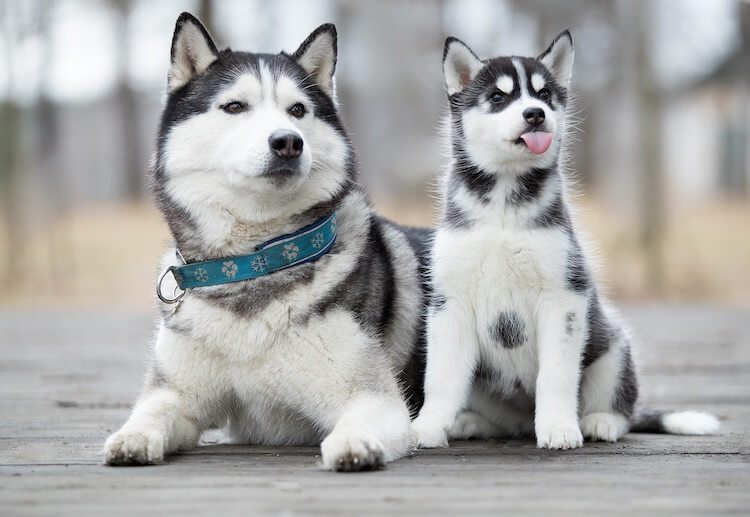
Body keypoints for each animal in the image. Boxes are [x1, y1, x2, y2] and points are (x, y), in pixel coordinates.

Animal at [104, 13, 428, 472]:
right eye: (235, 106)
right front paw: (131, 436)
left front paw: (353, 443)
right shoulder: (177, 393)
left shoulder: (375, 397)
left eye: (298, 110)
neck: (253, 264)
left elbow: (362, 417)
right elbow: (152, 410)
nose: (288, 141)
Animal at [414, 30, 720, 450]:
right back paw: (471, 422)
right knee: (505, 421)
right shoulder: (450, 303)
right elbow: (441, 378)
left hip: (614, 349)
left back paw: (599, 422)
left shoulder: (564, 297)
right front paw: (427, 427)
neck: (504, 204)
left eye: (544, 95)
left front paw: (559, 427)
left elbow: (556, 376)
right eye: (498, 96)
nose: (535, 114)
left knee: (621, 409)